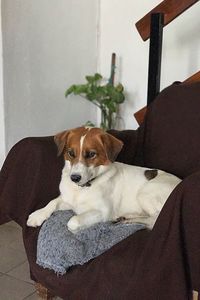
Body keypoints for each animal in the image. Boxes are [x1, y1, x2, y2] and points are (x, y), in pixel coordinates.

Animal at [26, 126, 181, 232]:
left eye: (91, 154)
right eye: (71, 153)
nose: (74, 178)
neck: (83, 188)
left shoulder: (102, 212)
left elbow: (73, 221)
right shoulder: (68, 199)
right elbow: (52, 202)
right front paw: (38, 215)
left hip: (146, 193)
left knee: (155, 219)